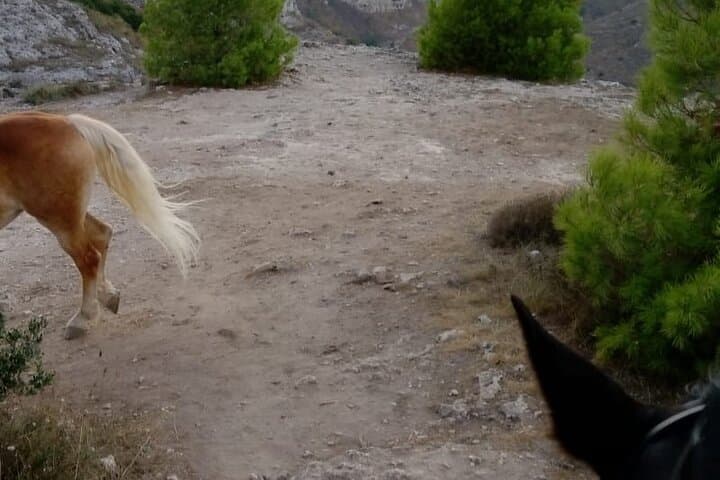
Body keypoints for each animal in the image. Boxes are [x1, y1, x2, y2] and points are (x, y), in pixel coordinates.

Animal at [0, 111, 199, 340]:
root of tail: (68, 123)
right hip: (70, 216)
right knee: (102, 234)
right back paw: (108, 296)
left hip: (59, 219)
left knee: (89, 258)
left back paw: (84, 318)